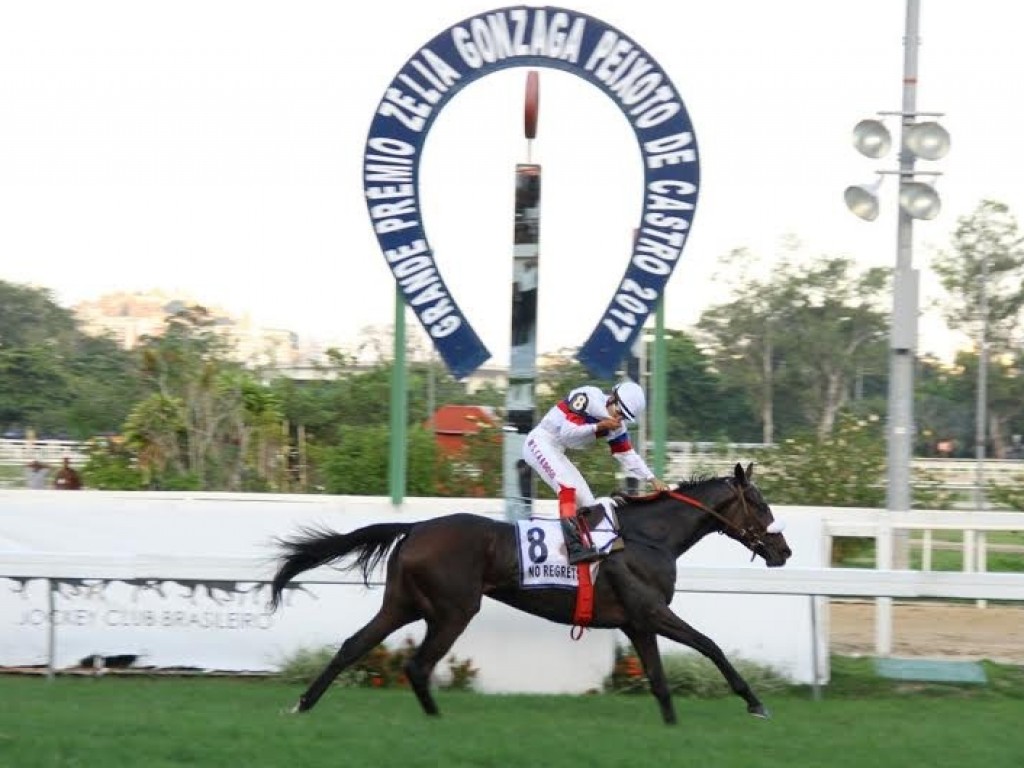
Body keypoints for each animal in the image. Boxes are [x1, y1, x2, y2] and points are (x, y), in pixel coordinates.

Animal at [270, 462, 790, 729]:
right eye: (760, 503)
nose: (783, 550)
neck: (649, 536)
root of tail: (415, 526)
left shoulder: (637, 621)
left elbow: (660, 679)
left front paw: (671, 725)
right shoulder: (653, 611)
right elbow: (710, 646)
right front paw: (755, 703)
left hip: (402, 603)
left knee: (354, 646)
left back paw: (303, 704)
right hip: (453, 610)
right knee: (417, 665)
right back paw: (438, 721)